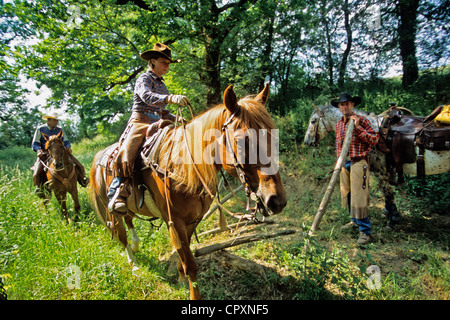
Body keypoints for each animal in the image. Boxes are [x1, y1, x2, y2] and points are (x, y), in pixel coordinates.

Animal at [89, 85, 286, 300]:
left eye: (273, 135)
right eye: (240, 141)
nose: (276, 200)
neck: (183, 167)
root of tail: (99, 156)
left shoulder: (192, 221)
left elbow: (184, 254)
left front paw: (181, 277)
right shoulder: (175, 221)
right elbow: (190, 263)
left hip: (128, 208)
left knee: (129, 218)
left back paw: (135, 244)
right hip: (110, 210)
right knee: (120, 232)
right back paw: (133, 263)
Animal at [302, 104, 450, 228]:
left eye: (313, 121)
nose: (307, 141)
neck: (375, 130)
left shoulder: (380, 171)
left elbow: (388, 194)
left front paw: (393, 220)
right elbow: (386, 194)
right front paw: (388, 213)